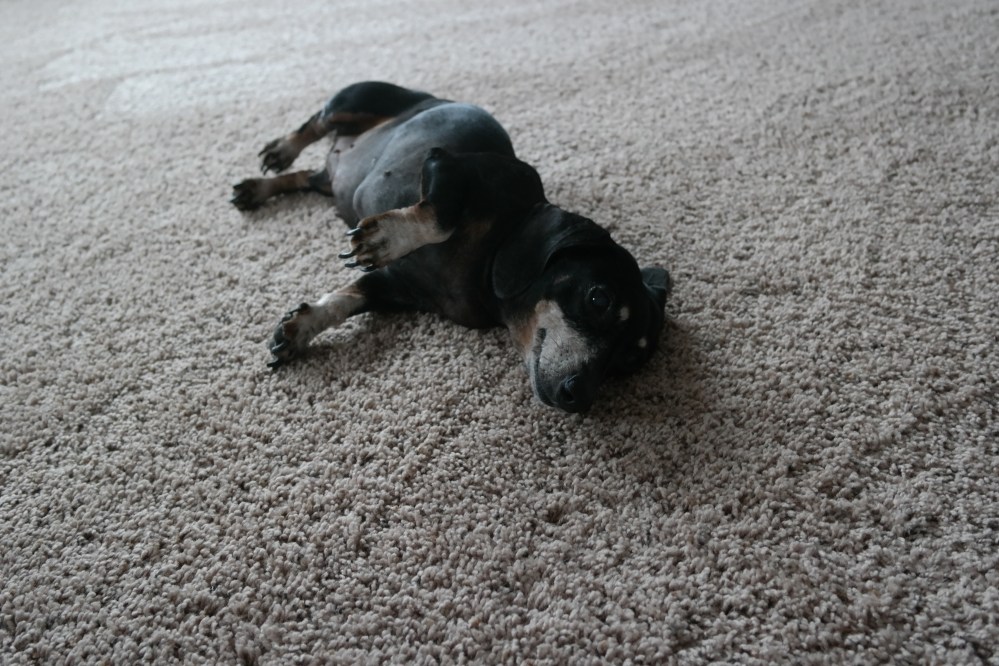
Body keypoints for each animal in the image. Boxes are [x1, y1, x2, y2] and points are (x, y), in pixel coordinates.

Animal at [231, 81, 671, 412]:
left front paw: (300, 328)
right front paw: (385, 237)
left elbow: (348, 299)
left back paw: (259, 189)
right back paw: (280, 151)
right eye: (599, 299)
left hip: (328, 181)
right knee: (314, 123)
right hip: (354, 101)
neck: (489, 260)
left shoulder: (393, 288)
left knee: (307, 176)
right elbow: (440, 217)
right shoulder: (448, 164)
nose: (578, 397)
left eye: (626, 362)